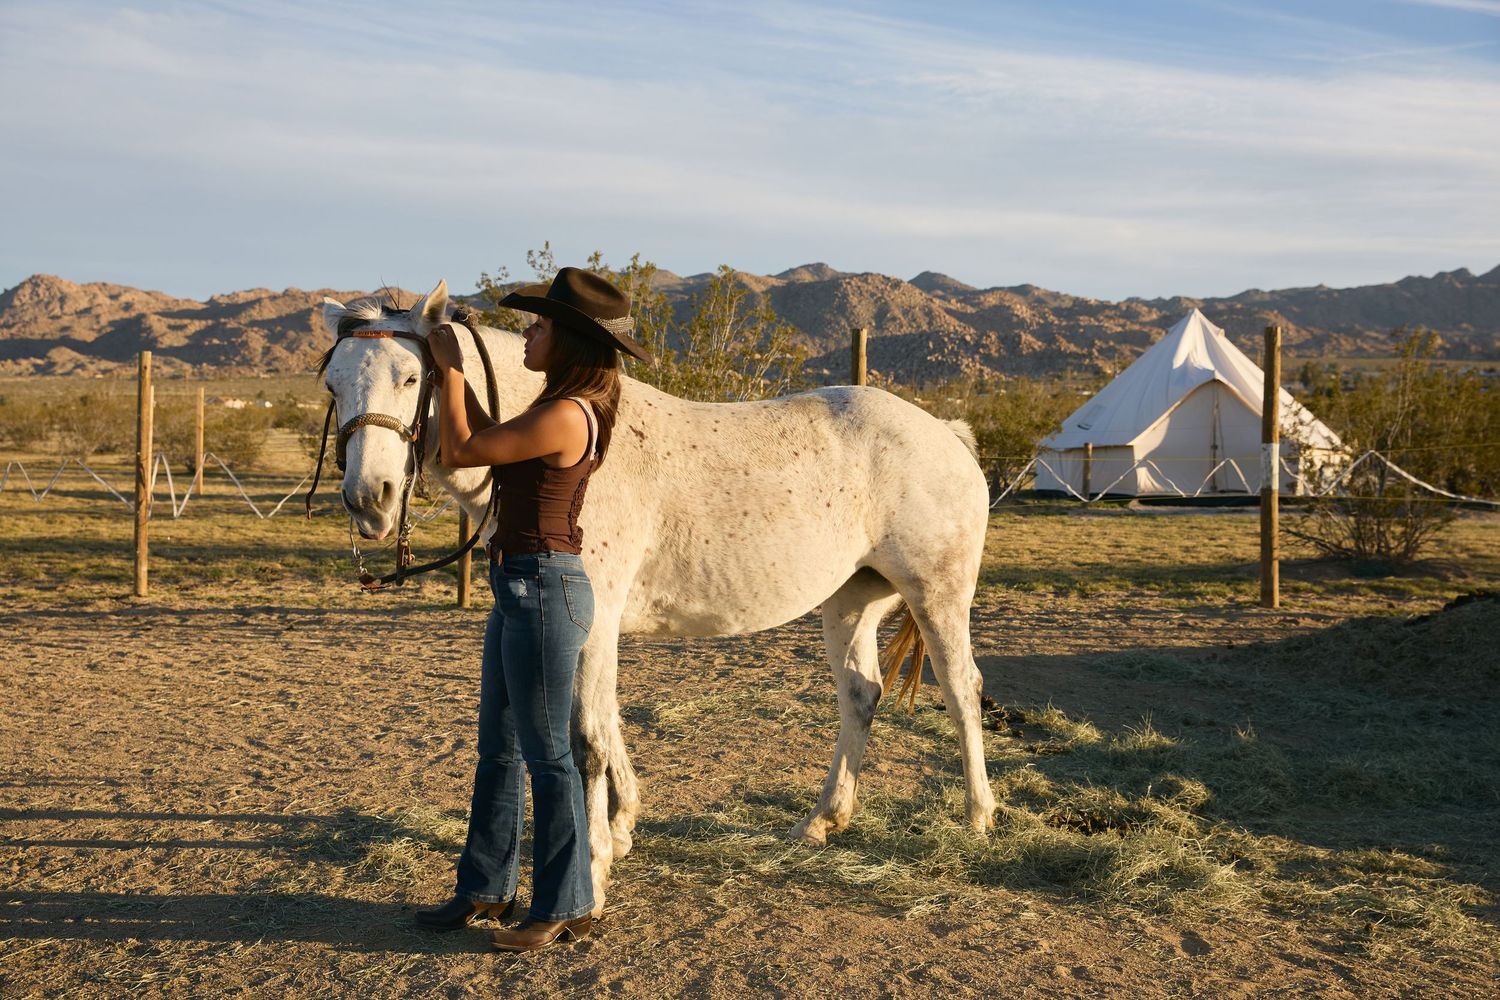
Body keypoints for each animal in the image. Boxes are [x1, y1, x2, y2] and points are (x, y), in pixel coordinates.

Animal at [319, 279, 997, 914]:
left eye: (412, 377)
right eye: (333, 384)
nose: (369, 498)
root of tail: (946, 432)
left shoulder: (590, 621)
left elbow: (587, 738)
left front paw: (592, 865)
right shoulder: (594, 627)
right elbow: (608, 721)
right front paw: (621, 828)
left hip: (937, 595)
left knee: (962, 689)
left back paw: (977, 817)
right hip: (850, 602)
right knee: (861, 694)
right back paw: (822, 820)